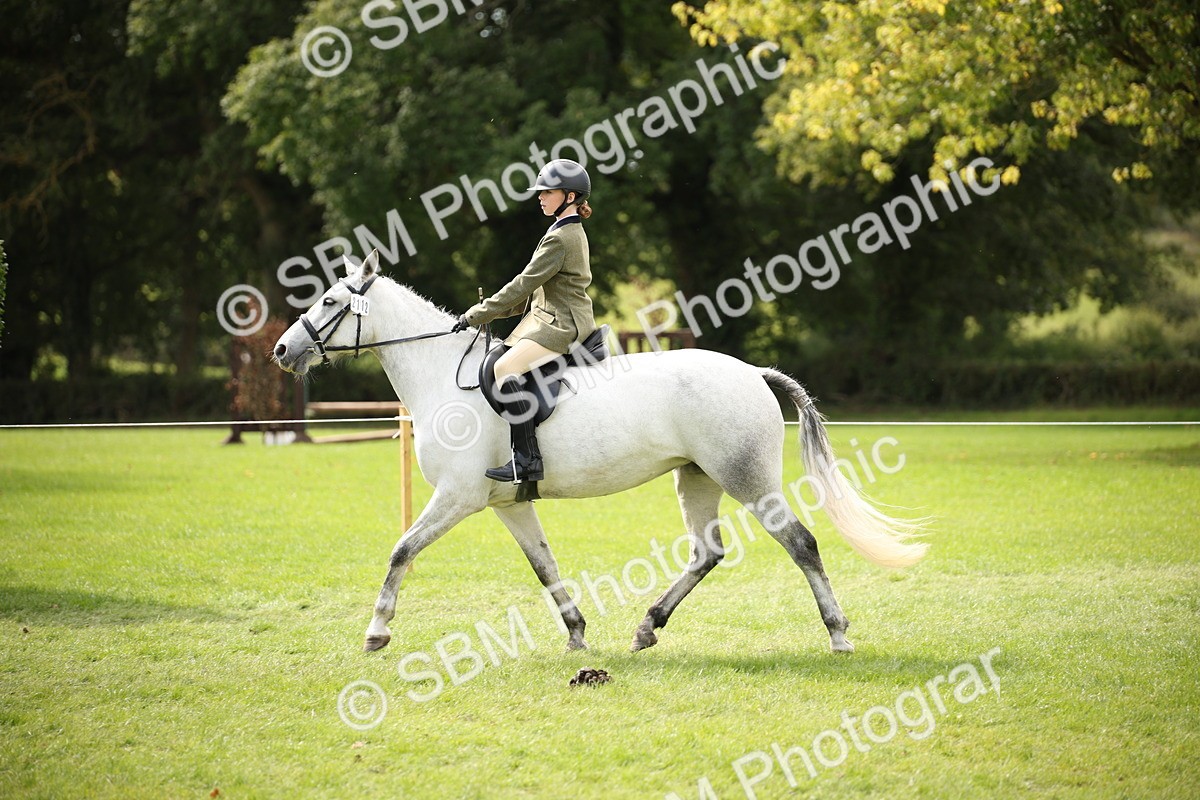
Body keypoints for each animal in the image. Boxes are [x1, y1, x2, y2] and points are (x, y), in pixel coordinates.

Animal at [272, 250, 927, 655]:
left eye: (329, 301)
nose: (282, 350)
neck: (442, 376)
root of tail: (752, 373)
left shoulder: (457, 496)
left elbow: (401, 550)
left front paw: (377, 632)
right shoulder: (509, 503)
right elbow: (545, 567)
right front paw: (577, 633)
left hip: (746, 477)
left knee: (801, 543)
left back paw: (838, 634)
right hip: (696, 478)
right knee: (707, 552)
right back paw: (647, 627)